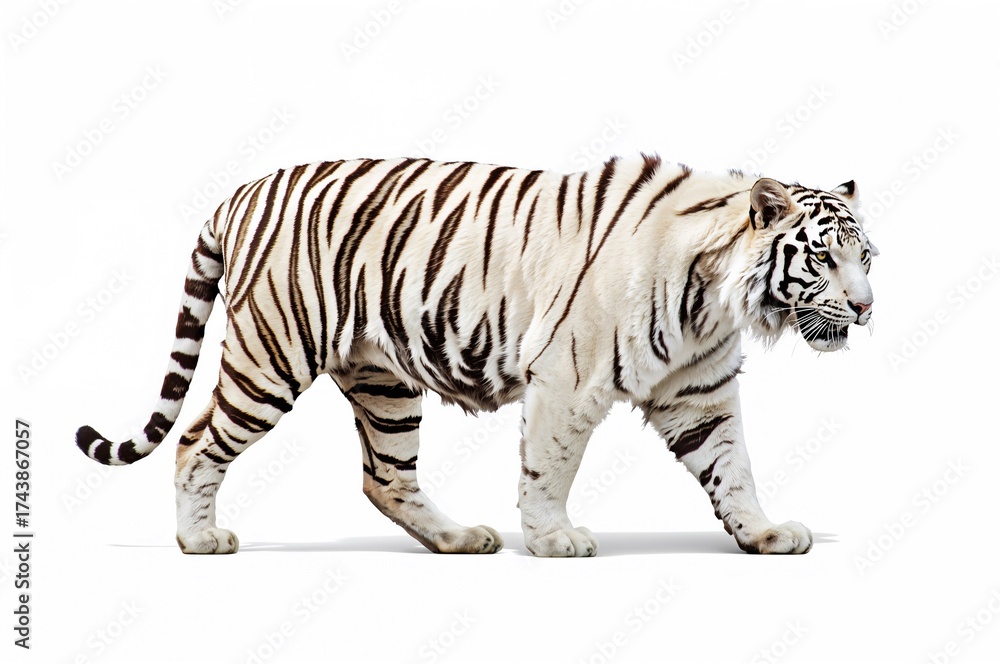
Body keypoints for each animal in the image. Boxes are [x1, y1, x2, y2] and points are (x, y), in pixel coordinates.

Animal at [75, 154, 876, 557]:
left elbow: (733, 468)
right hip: (271, 354)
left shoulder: (698, 393)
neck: (713, 295)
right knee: (194, 442)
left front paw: (765, 533)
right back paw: (199, 539)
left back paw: (460, 538)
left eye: (865, 256)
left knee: (384, 477)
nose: (867, 308)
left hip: (384, 381)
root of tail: (238, 192)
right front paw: (554, 539)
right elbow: (549, 466)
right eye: (824, 259)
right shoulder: (567, 378)